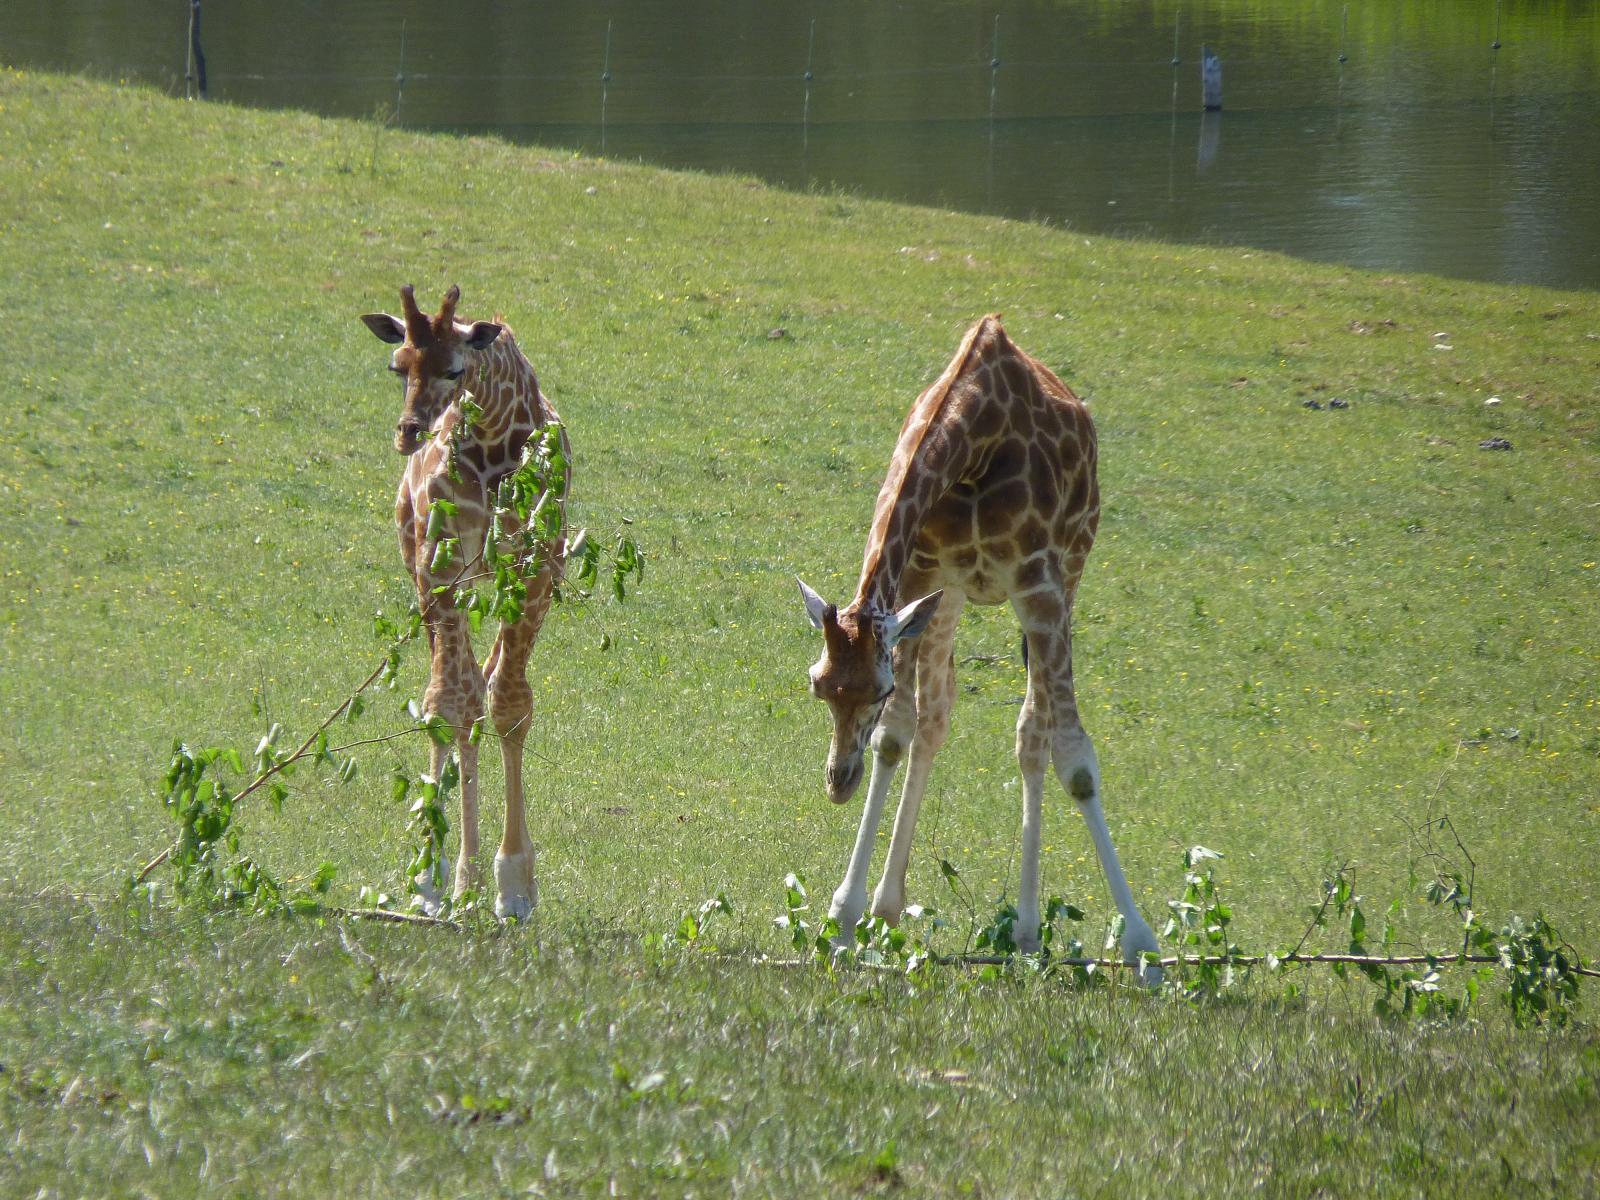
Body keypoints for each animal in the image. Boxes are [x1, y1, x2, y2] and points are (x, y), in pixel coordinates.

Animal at [360, 284, 567, 920]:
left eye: (454, 369)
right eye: (397, 365)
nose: (409, 432)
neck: (499, 435)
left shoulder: (537, 565)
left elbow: (509, 703)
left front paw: (515, 885)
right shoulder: (441, 564)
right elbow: (449, 703)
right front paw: (434, 879)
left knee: (483, 682)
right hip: (419, 565)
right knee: (457, 693)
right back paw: (451, 879)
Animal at [797, 315, 1162, 981]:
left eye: (878, 687)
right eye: (818, 683)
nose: (838, 781)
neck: (975, 442)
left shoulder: (1038, 583)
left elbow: (1076, 760)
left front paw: (1144, 947)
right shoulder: (923, 574)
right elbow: (898, 734)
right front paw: (846, 918)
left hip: (1070, 572)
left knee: (1034, 731)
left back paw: (1027, 930)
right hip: (955, 597)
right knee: (936, 719)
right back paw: (893, 906)